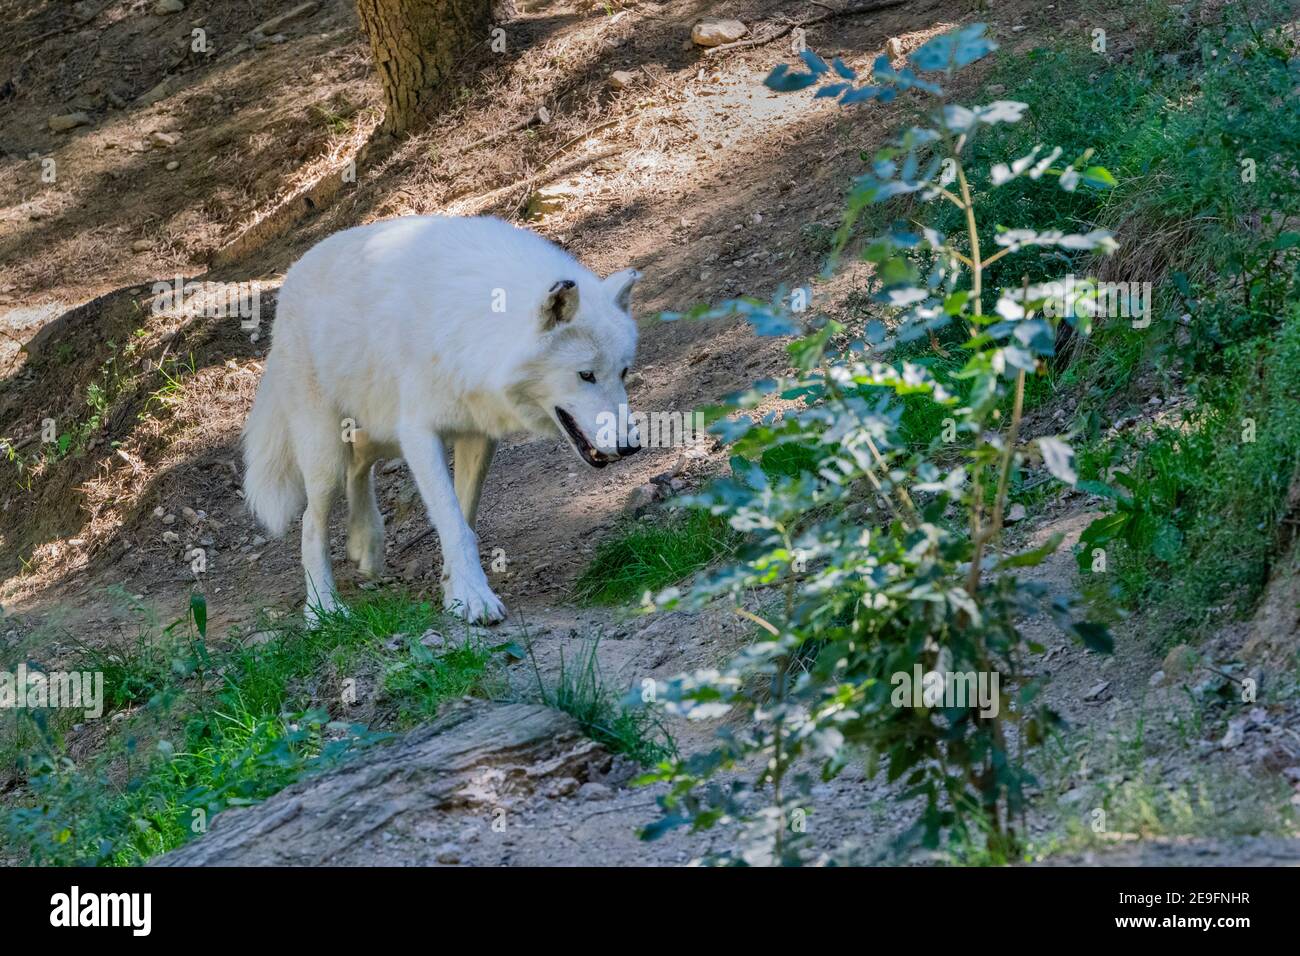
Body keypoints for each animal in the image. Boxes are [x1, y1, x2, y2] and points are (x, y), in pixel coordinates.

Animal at [241, 215, 642, 624]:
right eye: (586, 375)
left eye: (623, 372)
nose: (630, 446)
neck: (478, 326)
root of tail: (293, 273)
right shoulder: (419, 434)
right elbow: (452, 522)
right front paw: (476, 599)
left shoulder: (478, 435)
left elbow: (464, 519)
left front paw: (455, 593)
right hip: (328, 454)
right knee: (311, 521)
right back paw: (323, 609)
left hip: (380, 431)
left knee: (359, 465)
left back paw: (366, 543)